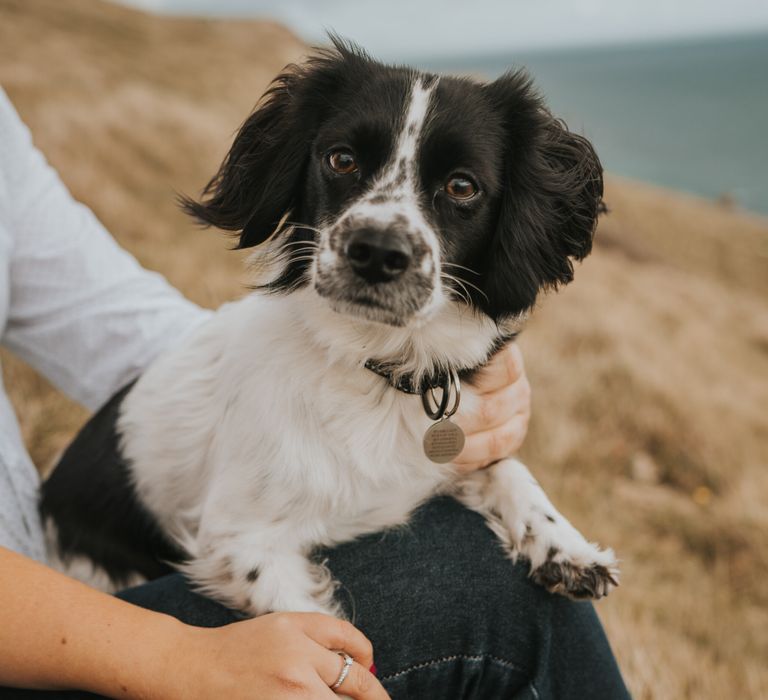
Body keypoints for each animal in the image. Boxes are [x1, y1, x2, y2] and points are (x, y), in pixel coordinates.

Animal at [40, 39, 616, 616]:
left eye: (461, 186)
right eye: (342, 159)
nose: (378, 251)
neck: (378, 370)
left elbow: (506, 466)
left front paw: (564, 544)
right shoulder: (239, 540)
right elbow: (318, 630)